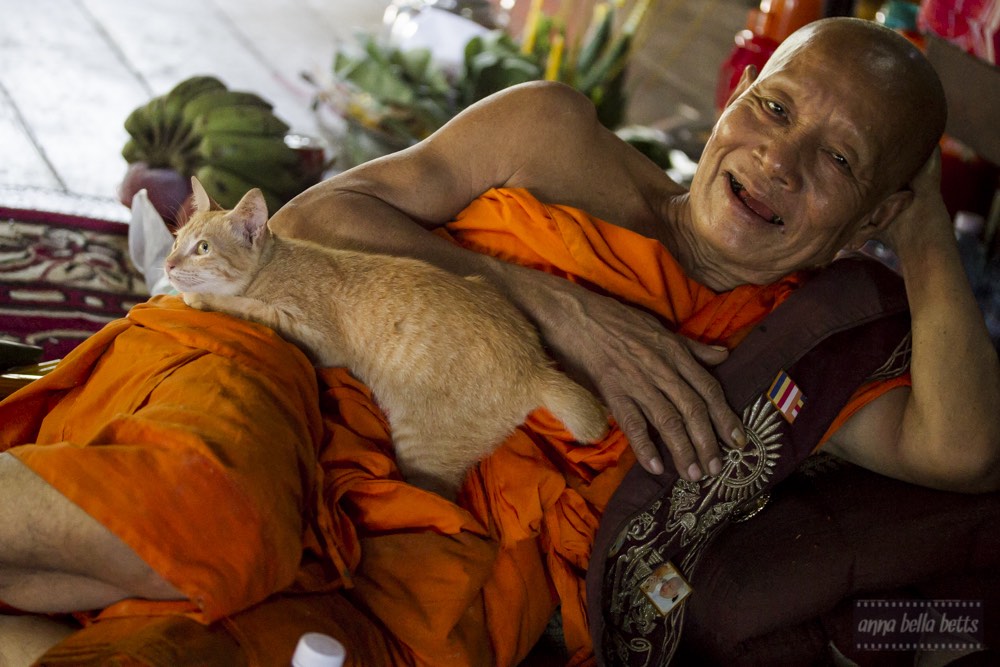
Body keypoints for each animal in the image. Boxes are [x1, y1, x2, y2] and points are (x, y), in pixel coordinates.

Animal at [165, 180, 604, 498]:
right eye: (175, 240)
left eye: (202, 248)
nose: (167, 265)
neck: (272, 265)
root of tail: (537, 366)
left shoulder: (314, 334)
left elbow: (245, 306)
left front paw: (202, 298)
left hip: (423, 450)